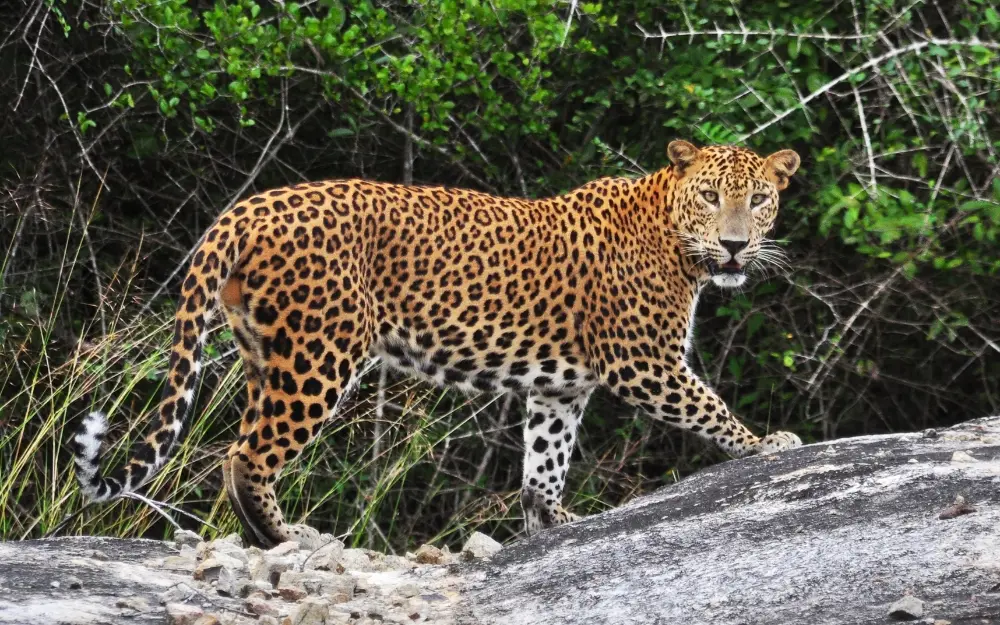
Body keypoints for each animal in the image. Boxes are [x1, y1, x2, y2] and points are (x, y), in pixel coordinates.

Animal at [73, 140, 802, 547]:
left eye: (760, 199)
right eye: (710, 196)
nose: (735, 244)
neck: (678, 240)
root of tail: (246, 207)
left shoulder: (561, 386)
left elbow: (544, 460)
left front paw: (551, 522)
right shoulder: (643, 360)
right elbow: (709, 406)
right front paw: (768, 443)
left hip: (266, 355)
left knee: (243, 445)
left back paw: (267, 537)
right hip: (319, 353)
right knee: (247, 454)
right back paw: (285, 537)